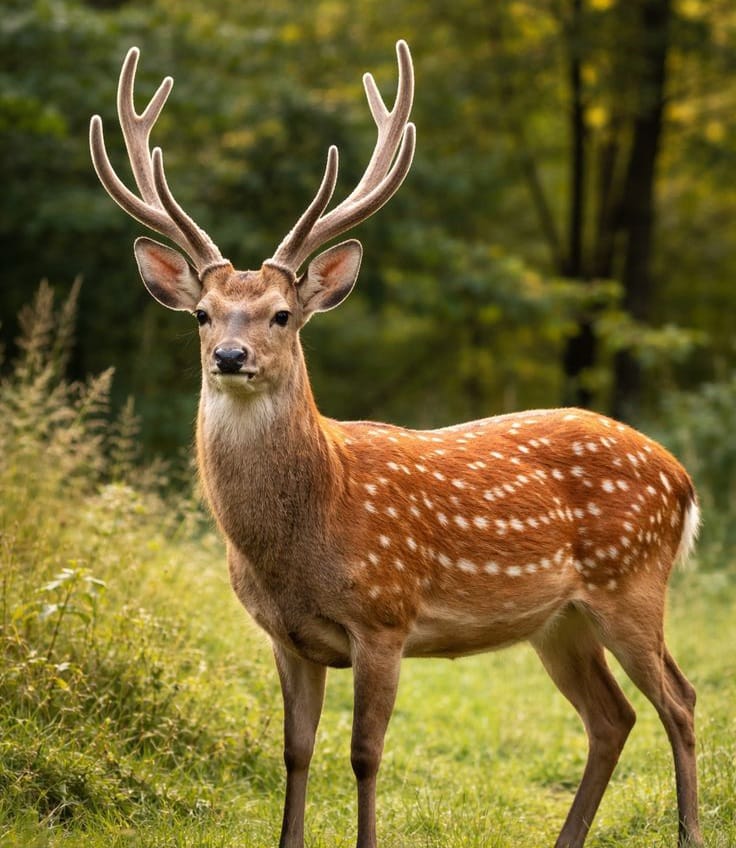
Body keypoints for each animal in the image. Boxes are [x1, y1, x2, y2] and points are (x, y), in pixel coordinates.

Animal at [89, 41, 703, 848]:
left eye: (282, 314)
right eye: (201, 313)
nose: (229, 356)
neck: (303, 534)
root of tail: (683, 480)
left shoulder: (385, 616)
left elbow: (365, 754)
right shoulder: (286, 636)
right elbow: (295, 750)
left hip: (632, 582)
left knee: (680, 702)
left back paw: (690, 830)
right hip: (558, 620)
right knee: (614, 716)